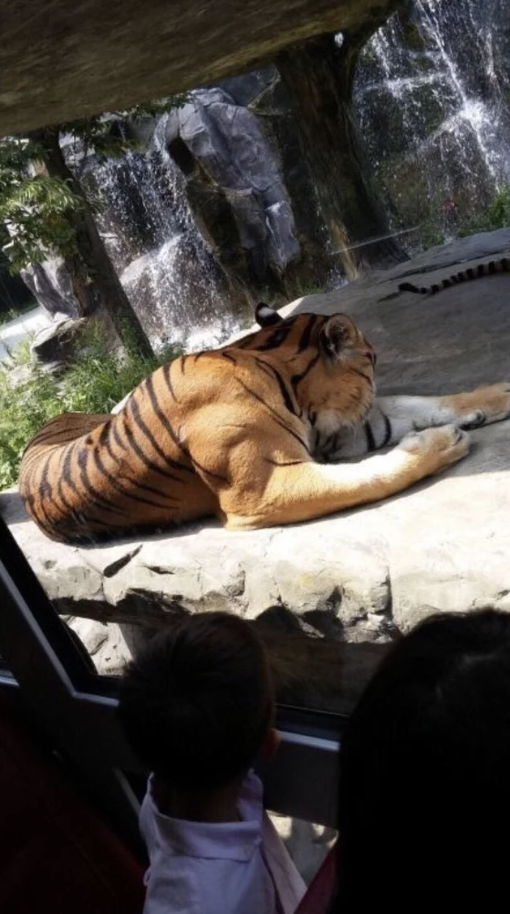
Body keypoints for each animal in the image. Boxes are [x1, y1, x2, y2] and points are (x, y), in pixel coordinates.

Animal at [17, 302, 510, 540]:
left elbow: (418, 402)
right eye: (372, 359)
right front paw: (440, 443)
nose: (373, 372)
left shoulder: (343, 433)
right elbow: (370, 476)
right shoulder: (264, 487)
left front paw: (496, 395)